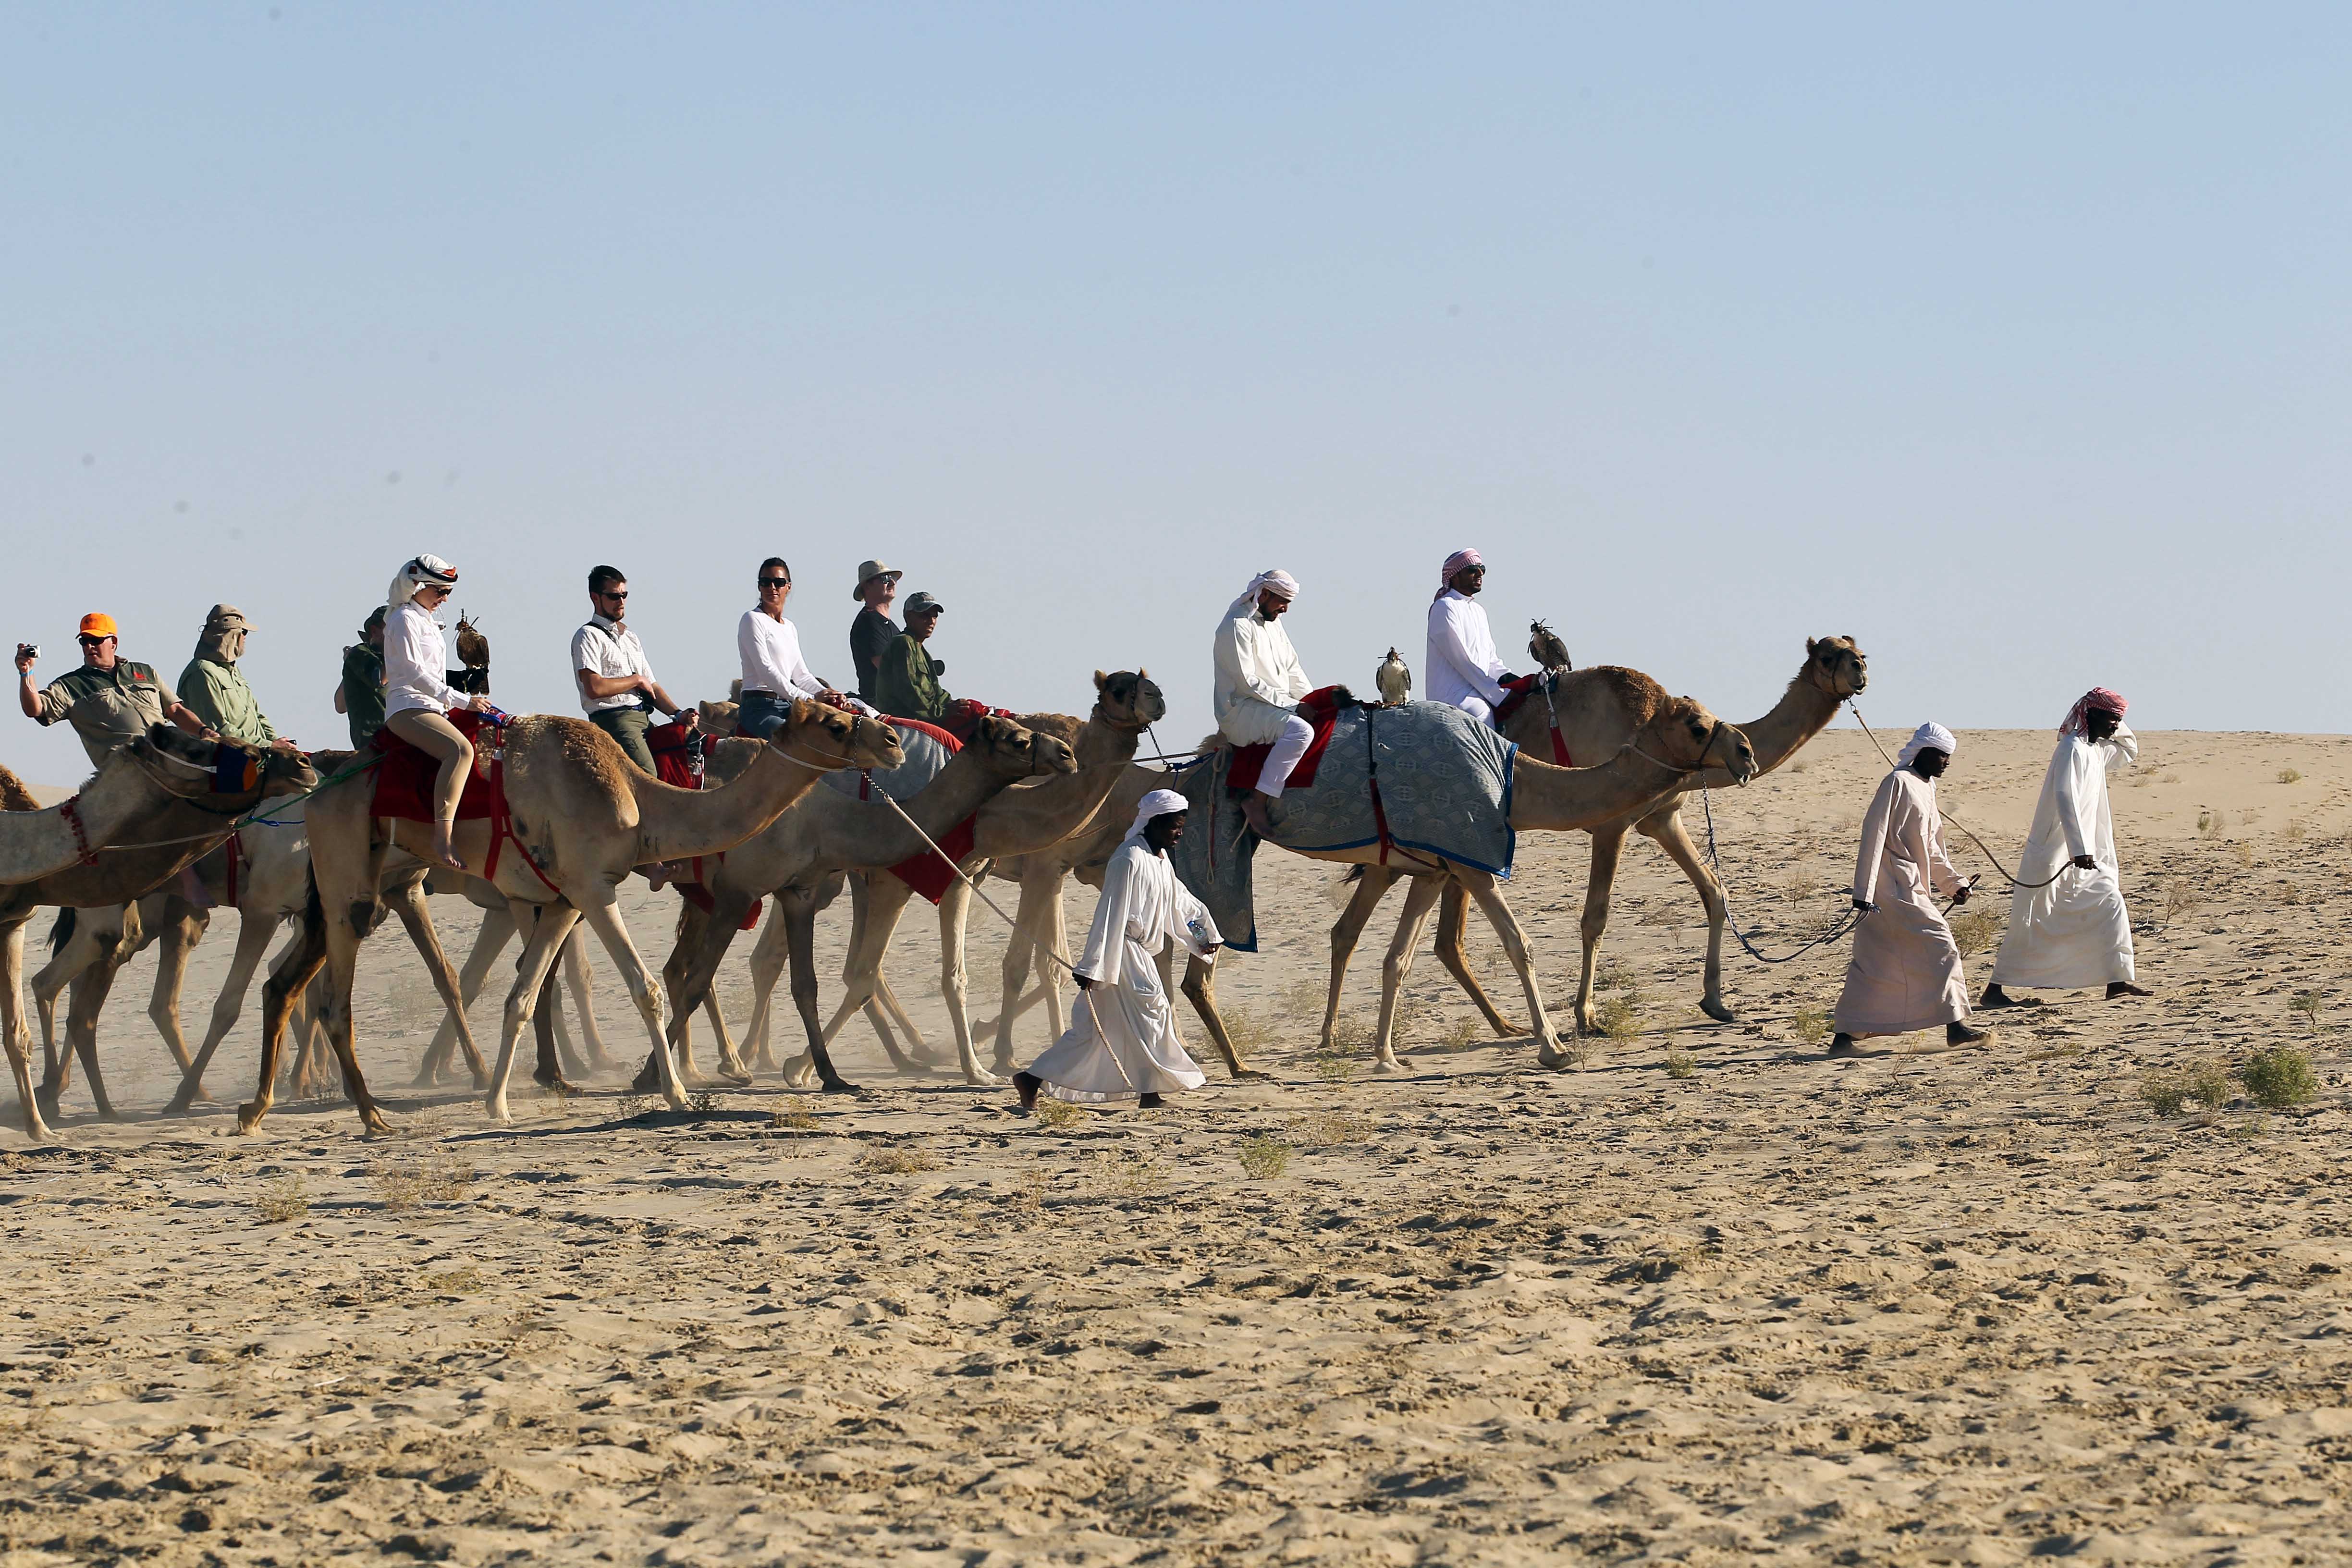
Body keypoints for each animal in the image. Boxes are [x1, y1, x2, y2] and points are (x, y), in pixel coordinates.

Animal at [0, 738, 317, 1142]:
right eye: (198, 749)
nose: (301, 763)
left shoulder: (14, 921)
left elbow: (16, 1035)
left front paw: (39, 1130)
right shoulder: (265, 908)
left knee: (74, 994)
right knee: (69, 993)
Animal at [238, 696, 898, 1128]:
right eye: (837, 724)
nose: (891, 742)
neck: (638, 798)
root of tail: (315, 792)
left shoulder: (558, 901)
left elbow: (522, 997)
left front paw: (498, 1104)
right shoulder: (592, 886)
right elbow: (647, 987)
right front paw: (678, 1096)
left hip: (360, 884)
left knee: (285, 984)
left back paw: (258, 1110)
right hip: (349, 875)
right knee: (332, 995)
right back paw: (371, 1115)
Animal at [654, 719, 1077, 1100]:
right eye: (1019, 740)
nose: (1067, 754)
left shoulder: (802, 889)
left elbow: (813, 983)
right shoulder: (743, 889)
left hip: (705, 892)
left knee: (686, 967)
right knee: (705, 971)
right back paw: (718, 1066)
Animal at [767, 667, 1171, 1086]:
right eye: (1120, 689)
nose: (1157, 697)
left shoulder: (975, 877)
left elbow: (975, 974)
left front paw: (981, 1064)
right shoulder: (1032, 868)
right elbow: (1024, 965)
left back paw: (910, 1055)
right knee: (786, 958)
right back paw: (758, 1061)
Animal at [1335, 630, 1862, 1048]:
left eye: (1857, 649)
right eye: (1828, 657)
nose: (1860, 671)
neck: (1648, 728)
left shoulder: (1662, 819)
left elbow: (1714, 891)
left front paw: (1716, 1001)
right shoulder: (1613, 824)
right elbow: (1596, 918)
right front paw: (1586, 1016)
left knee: (1431, 933)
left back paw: (1503, 1027)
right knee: (1437, 932)